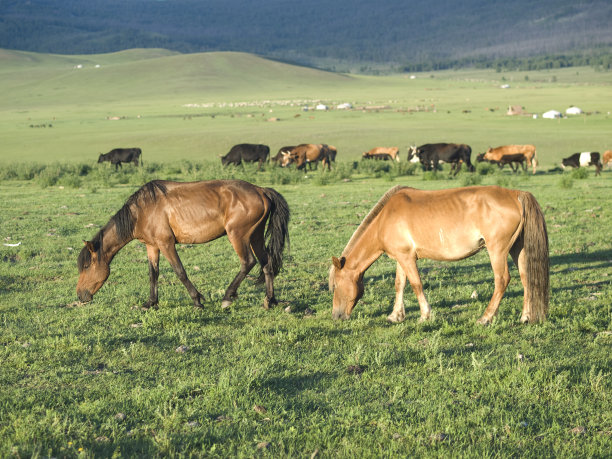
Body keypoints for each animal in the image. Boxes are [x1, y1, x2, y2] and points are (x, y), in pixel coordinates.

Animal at [77, 180, 292, 312]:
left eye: (86, 266)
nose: (80, 295)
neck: (141, 211)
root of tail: (261, 190)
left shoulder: (166, 244)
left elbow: (180, 272)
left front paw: (197, 300)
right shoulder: (152, 246)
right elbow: (153, 274)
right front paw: (151, 302)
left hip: (238, 236)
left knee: (248, 262)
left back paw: (227, 296)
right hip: (255, 236)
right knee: (266, 264)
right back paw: (270, 300)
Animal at [330, 185, 548, 326]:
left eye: (336, 286)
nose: (336, 316)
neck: (386, 218)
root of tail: (515, 195)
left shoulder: (408, 259)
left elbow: (416, 284)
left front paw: (425, 315)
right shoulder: (401, 258)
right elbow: (400, 284)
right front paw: (396, 316)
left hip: (497, 250)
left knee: (502, 280)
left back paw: (485, 318)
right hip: (517, 249)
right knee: (526, 279)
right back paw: (525, 317)